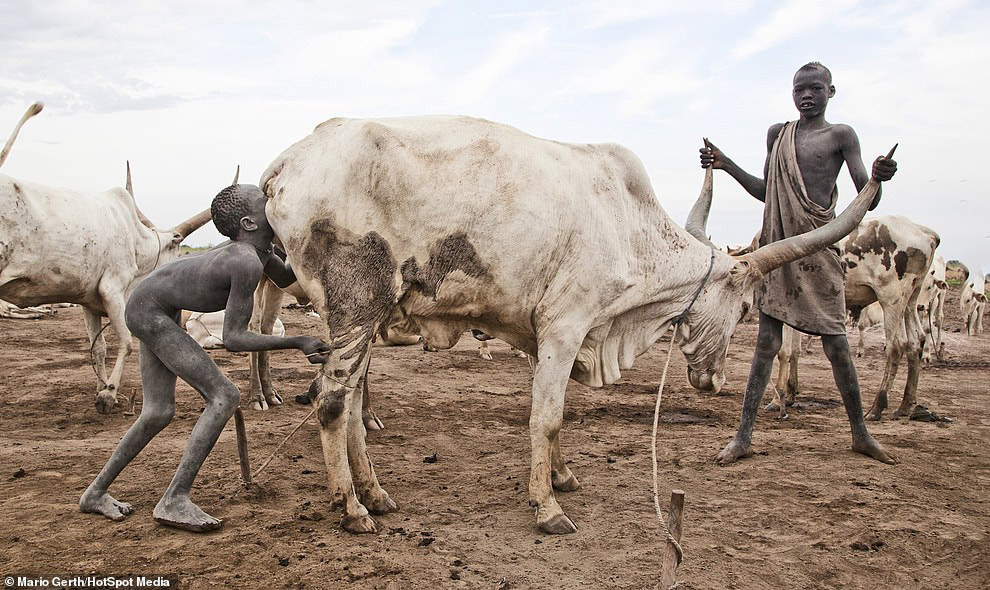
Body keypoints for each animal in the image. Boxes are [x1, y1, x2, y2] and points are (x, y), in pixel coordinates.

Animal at [0, 104, 213, 414]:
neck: (136, 241)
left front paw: (102, 388)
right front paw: (109, 394)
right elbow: (125, 341)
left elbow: (98, 347)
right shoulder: (112, 290)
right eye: (177, 246)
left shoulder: (87, 301)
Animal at [260, 115, 888, 536]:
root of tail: (286, 164)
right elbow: (548, 417)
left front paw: (561, 478)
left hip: (362, 319)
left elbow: (555, 416)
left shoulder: (548, 337)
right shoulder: (566, 326)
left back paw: (375, 494)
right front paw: (548, 508)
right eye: (742, 308)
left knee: (352, 408)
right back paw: (352, 508)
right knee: (332, 402)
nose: (713, 381)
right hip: (355, 308)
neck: (629, 226)